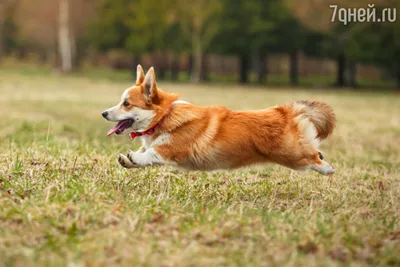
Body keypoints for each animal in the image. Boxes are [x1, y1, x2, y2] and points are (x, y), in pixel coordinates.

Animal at [101, 65, 336, 176]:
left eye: (126, 103)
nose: (103, 113)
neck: (164, 117)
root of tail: (284, 111)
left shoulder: (171, 149)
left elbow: (150, 153)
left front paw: (133, 157)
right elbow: (142, 155)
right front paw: (128, 160)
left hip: (291, 155)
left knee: (313, 157)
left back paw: (328, 168)